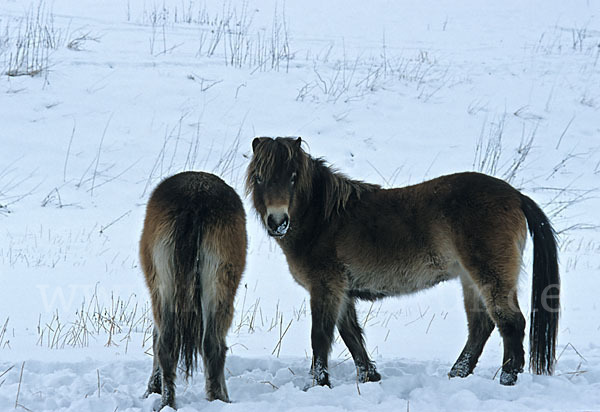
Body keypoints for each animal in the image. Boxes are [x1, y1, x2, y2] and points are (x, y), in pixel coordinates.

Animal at [140, 170, 246, 408]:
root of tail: (195, 199)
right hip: (218, 285)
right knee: (210, 344)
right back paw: (217, 399)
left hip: (167, 285)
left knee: (169, 343)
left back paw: (170, 401)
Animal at [246, 137, 560, 388]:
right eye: (259, 178)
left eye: (293, 177)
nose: (277, 222)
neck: (324, 219)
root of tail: (515, 195)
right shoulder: (341, 291)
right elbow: (351, 335)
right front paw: (369, 377)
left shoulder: (325, 287)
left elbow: (320, 336)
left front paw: (318, 384)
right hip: (470, 278)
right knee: (481, 326)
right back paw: (457, 374)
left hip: (490, 275)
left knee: (510, 322)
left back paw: (507, 378)